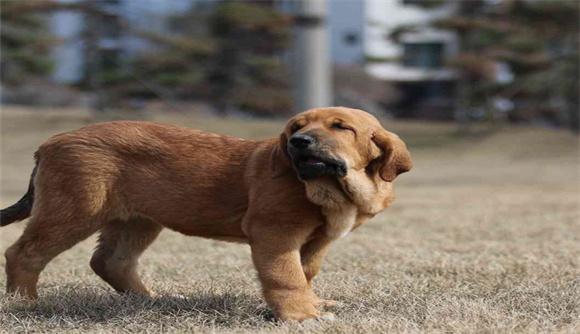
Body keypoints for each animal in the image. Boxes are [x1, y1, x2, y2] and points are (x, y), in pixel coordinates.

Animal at [0, 107, 410, 320]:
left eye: (341, 127)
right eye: (296, 127)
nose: (298, 142)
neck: (331, 188)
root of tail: (48, 144)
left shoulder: (316, 241)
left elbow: (305, 273)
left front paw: (313, 303)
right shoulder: (274, 234)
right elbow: (287, 276)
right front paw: (301, 315)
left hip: (137, 219)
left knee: (110, 261)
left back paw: (151, 300)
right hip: (74, 210)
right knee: (23, 253)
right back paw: (25, 302)